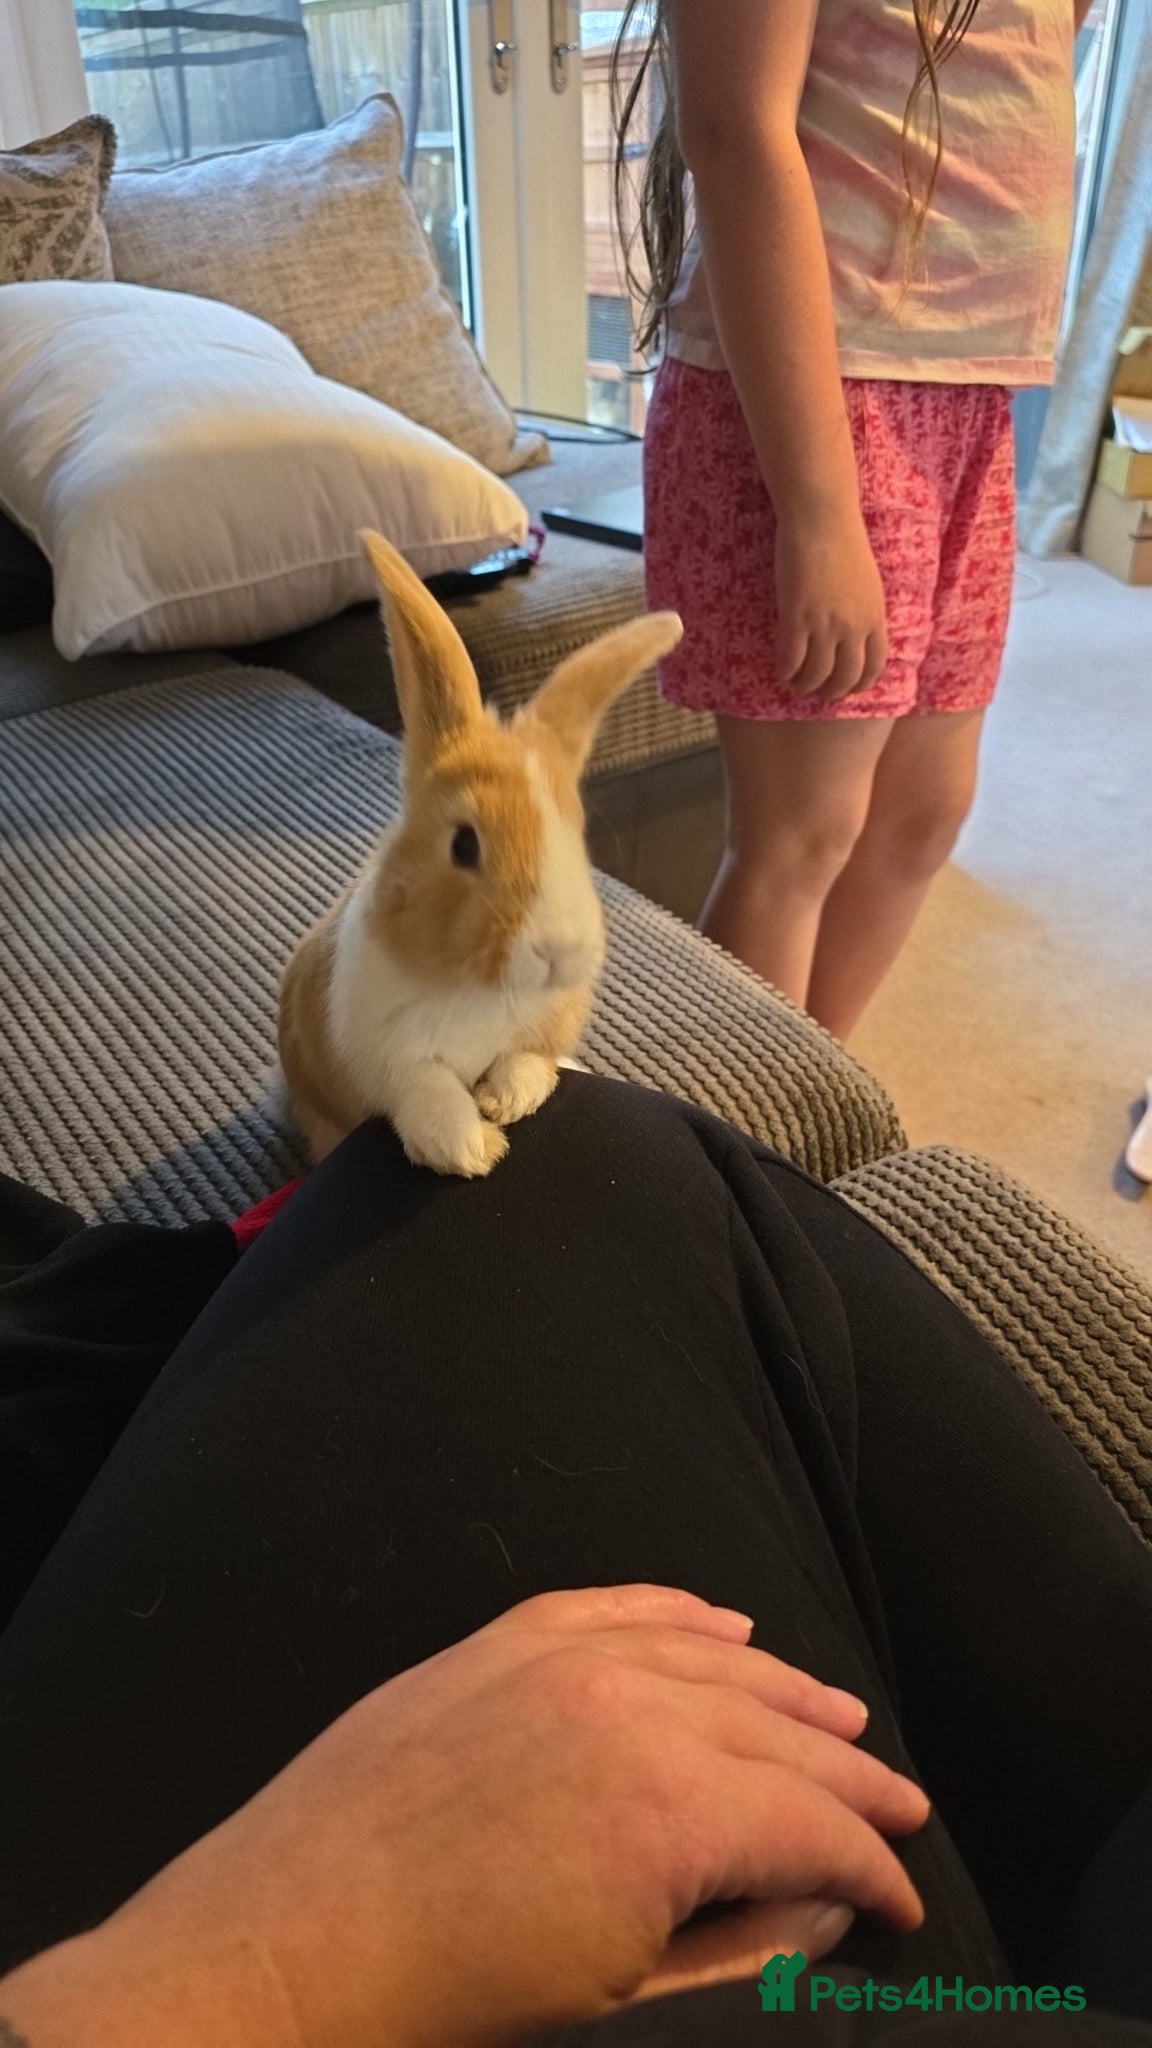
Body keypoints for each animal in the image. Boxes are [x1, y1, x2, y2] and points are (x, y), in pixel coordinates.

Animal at [277, 529, 683, 1178]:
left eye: (577, 834)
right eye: (464, 844)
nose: (561, 953)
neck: (479, 989)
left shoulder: (541, 1031)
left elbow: (529, 1060)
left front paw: (505, 1101)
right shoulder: (387, 1057)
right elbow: (427, 1091)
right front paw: (472, 1149)